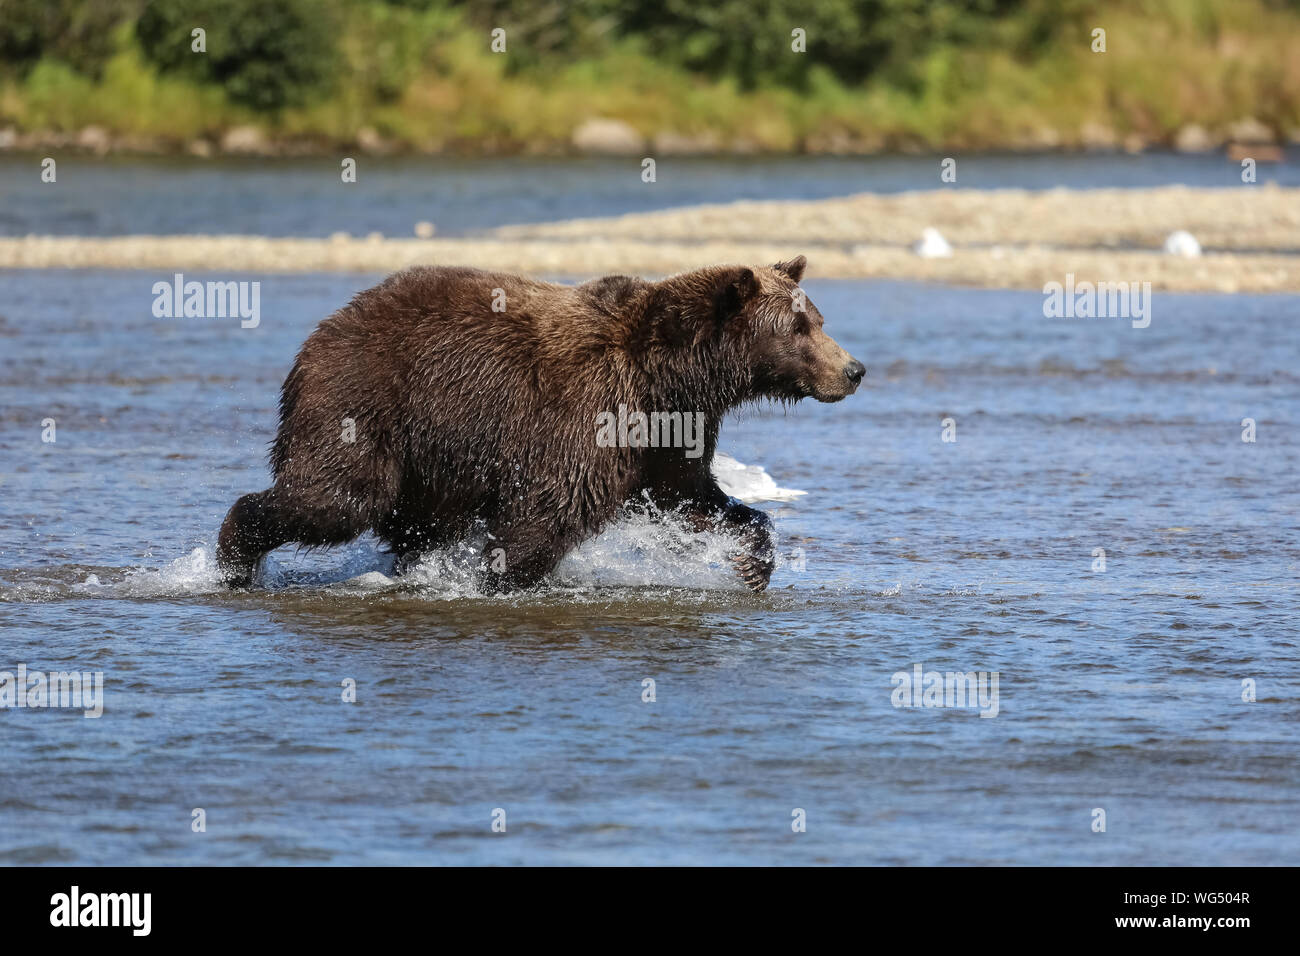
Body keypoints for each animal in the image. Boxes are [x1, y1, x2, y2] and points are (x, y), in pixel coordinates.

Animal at [215, 257, 863, 595]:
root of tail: (319, 334)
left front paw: (752, 562)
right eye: (799, 327)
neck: (670, 377)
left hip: (433, 455)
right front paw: (497, 580)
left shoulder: (666, 436)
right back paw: (232, 558)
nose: (853, 369)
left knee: (415, 521)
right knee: (339, 496)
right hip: (367, 402)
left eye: (818, 318)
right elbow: (548, 510)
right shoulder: (588, 411)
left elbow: (694, 499)